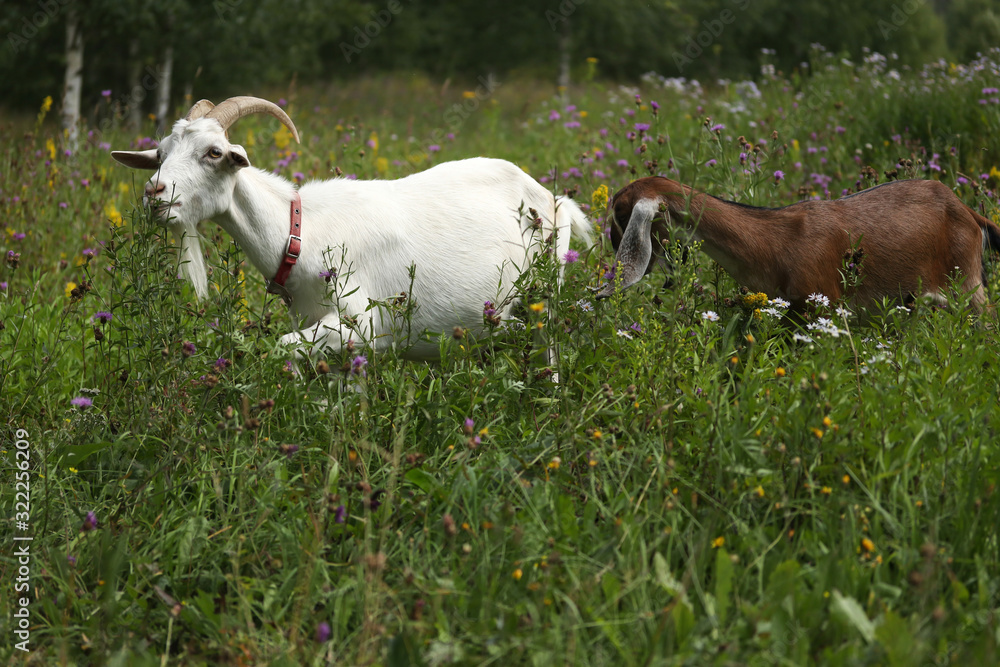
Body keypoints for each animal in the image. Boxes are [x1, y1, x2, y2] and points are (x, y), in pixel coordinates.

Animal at [112, 96, 592, 360]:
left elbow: (282, 347)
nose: (155, 193)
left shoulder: (360, 324)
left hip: (544, 298)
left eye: (214, 152)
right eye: (159, 154)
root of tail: (553, 201)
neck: (300, 234)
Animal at [595, 176, 1000, 314]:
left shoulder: (822, 305)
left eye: (620, 213)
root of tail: (969, 213)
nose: (610, 246)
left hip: (969, 288)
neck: (775, 244)